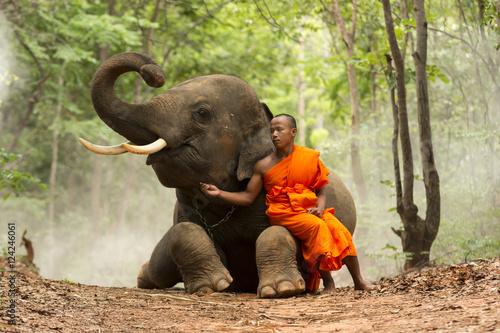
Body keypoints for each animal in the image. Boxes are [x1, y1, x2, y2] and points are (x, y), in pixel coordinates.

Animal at [81, 52, 356, 298]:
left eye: (202, 113)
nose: (152, 72)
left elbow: (283, 232)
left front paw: (282, 289)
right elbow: (183, 231)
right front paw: (213, 286)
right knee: (157, 269)